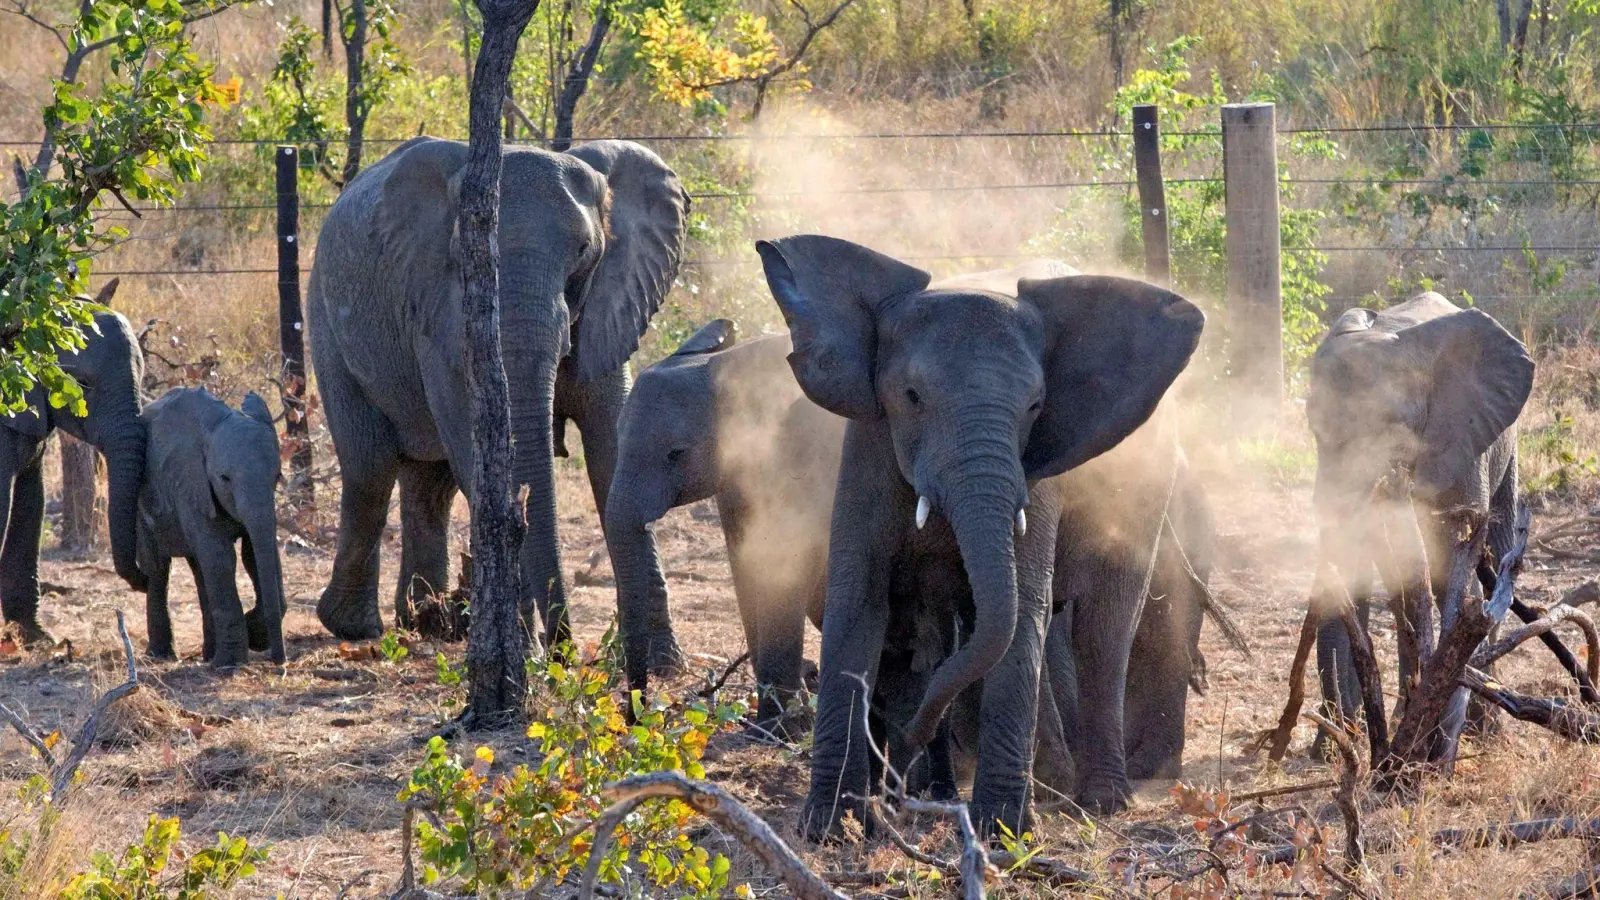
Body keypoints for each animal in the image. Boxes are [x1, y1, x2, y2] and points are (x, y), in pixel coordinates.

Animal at [138, 387, 288, 666]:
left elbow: (255, 554)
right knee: (158, 569)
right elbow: (220, 557)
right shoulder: (189, 484)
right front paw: (231, 662)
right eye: (224, 478)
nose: (279, 660)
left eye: (277, 477)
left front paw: (253, 633)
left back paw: (209, 655)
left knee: (199, 569)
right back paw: (161, 655)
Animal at [307, 132, 688, 640]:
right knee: (370, 467)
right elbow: (478, 455)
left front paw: (657, 657)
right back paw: (359, 628)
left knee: (429, 484)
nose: (563, 640)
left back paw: (428, 622)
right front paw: (527, 648)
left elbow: (613, 445)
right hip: (324, 317)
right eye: (468, 257)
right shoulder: (442, 306)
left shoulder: (610, 301)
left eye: (584, 250)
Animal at [758, 235, 1203, 839]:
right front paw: (827, 830)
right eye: (911, 395)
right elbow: (858, 601)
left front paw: (1005, 833)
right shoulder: (869, 444)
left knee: (1102, 626)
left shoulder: (1034, 475)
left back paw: (1099, 802)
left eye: (1036, 406)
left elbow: (1025, 608)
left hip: (1143, 491)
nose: (910, 736)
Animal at [1305, 294, 1542, 755]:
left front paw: (1441, 741)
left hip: (1507, 449)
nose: (1329, 748)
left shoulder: (1463, 442)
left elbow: (1455, 569)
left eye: (1391, 433)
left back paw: (1480, 728)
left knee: (1495, 567)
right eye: (1314, 431)